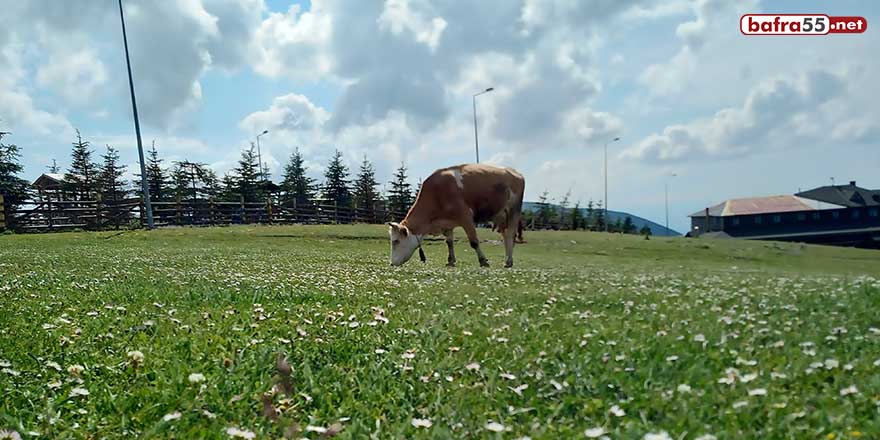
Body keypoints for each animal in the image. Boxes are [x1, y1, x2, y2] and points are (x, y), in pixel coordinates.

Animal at [386, 164, 524, 268]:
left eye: (396, 241)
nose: (392, 263)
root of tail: (515, 173)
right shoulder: (446, 223)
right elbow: (449, 242)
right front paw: (451, 260)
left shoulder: (466, 217)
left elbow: (474, 242)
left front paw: (483, 260)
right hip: (501, 216)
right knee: (505, 236)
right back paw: (507, 260)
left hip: (513, 211)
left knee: (510, 235)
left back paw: (509, 261)